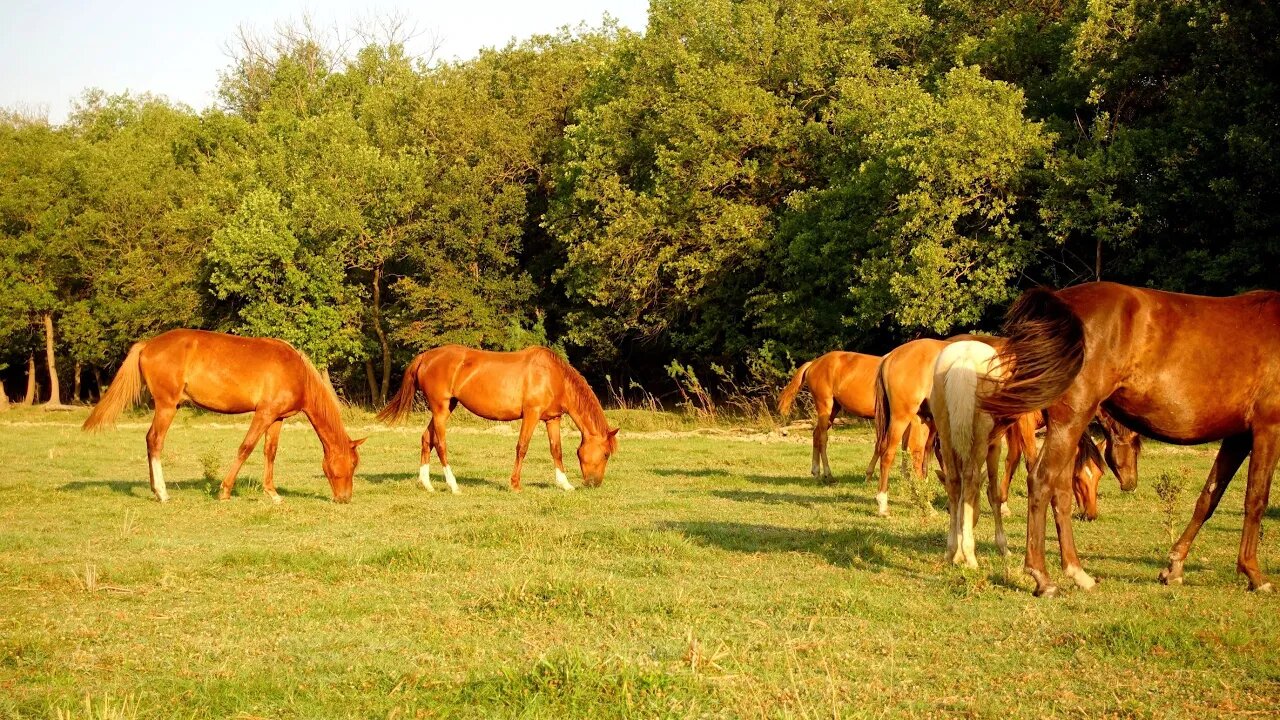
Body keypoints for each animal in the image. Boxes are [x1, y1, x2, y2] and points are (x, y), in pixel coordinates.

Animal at [81, 327, 366, 502]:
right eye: (352, 464)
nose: (345, 498)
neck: (296, 371)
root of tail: (147, 345)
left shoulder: (277, 418)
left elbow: (270, 452)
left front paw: (272, 493)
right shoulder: (263, 414)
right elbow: (246, 448)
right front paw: (225, 491)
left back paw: (155, 490)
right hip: (166, 406)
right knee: (155, 441)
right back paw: (162, 493)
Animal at [373, 345, 619, 489]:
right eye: (606, 454)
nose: (594, 484)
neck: (552, 375)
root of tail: (425, 357)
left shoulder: (552, 419)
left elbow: (556, 450)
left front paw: (565, 485)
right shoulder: (531, 415)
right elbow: (522, 447)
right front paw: (515, 484)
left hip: (446, 407)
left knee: (427, 439)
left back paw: (426, 484)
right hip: (440, 409)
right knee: (440, 444)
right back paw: (453, 485)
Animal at [773, 348, 885, 479]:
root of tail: (813, 363)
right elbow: (880, 446)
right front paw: (869, 476)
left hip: (832, 411)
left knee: (816, 434)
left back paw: (816, 472)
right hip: (824, 406)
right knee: (822, 438)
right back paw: (828, 474)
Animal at [977, 280, 1269, 594]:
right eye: (1134, 449)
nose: (1131, 484)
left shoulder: (1238, 435)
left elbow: (1209, 497)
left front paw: (1174, 568)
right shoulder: (1267, 428)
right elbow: (1256, 499)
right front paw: (1255, 574)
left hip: (1066, 424)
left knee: (1058, 489)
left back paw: (1077, 572)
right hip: (1064, 421)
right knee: (1040, 480)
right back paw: (1042, 577)